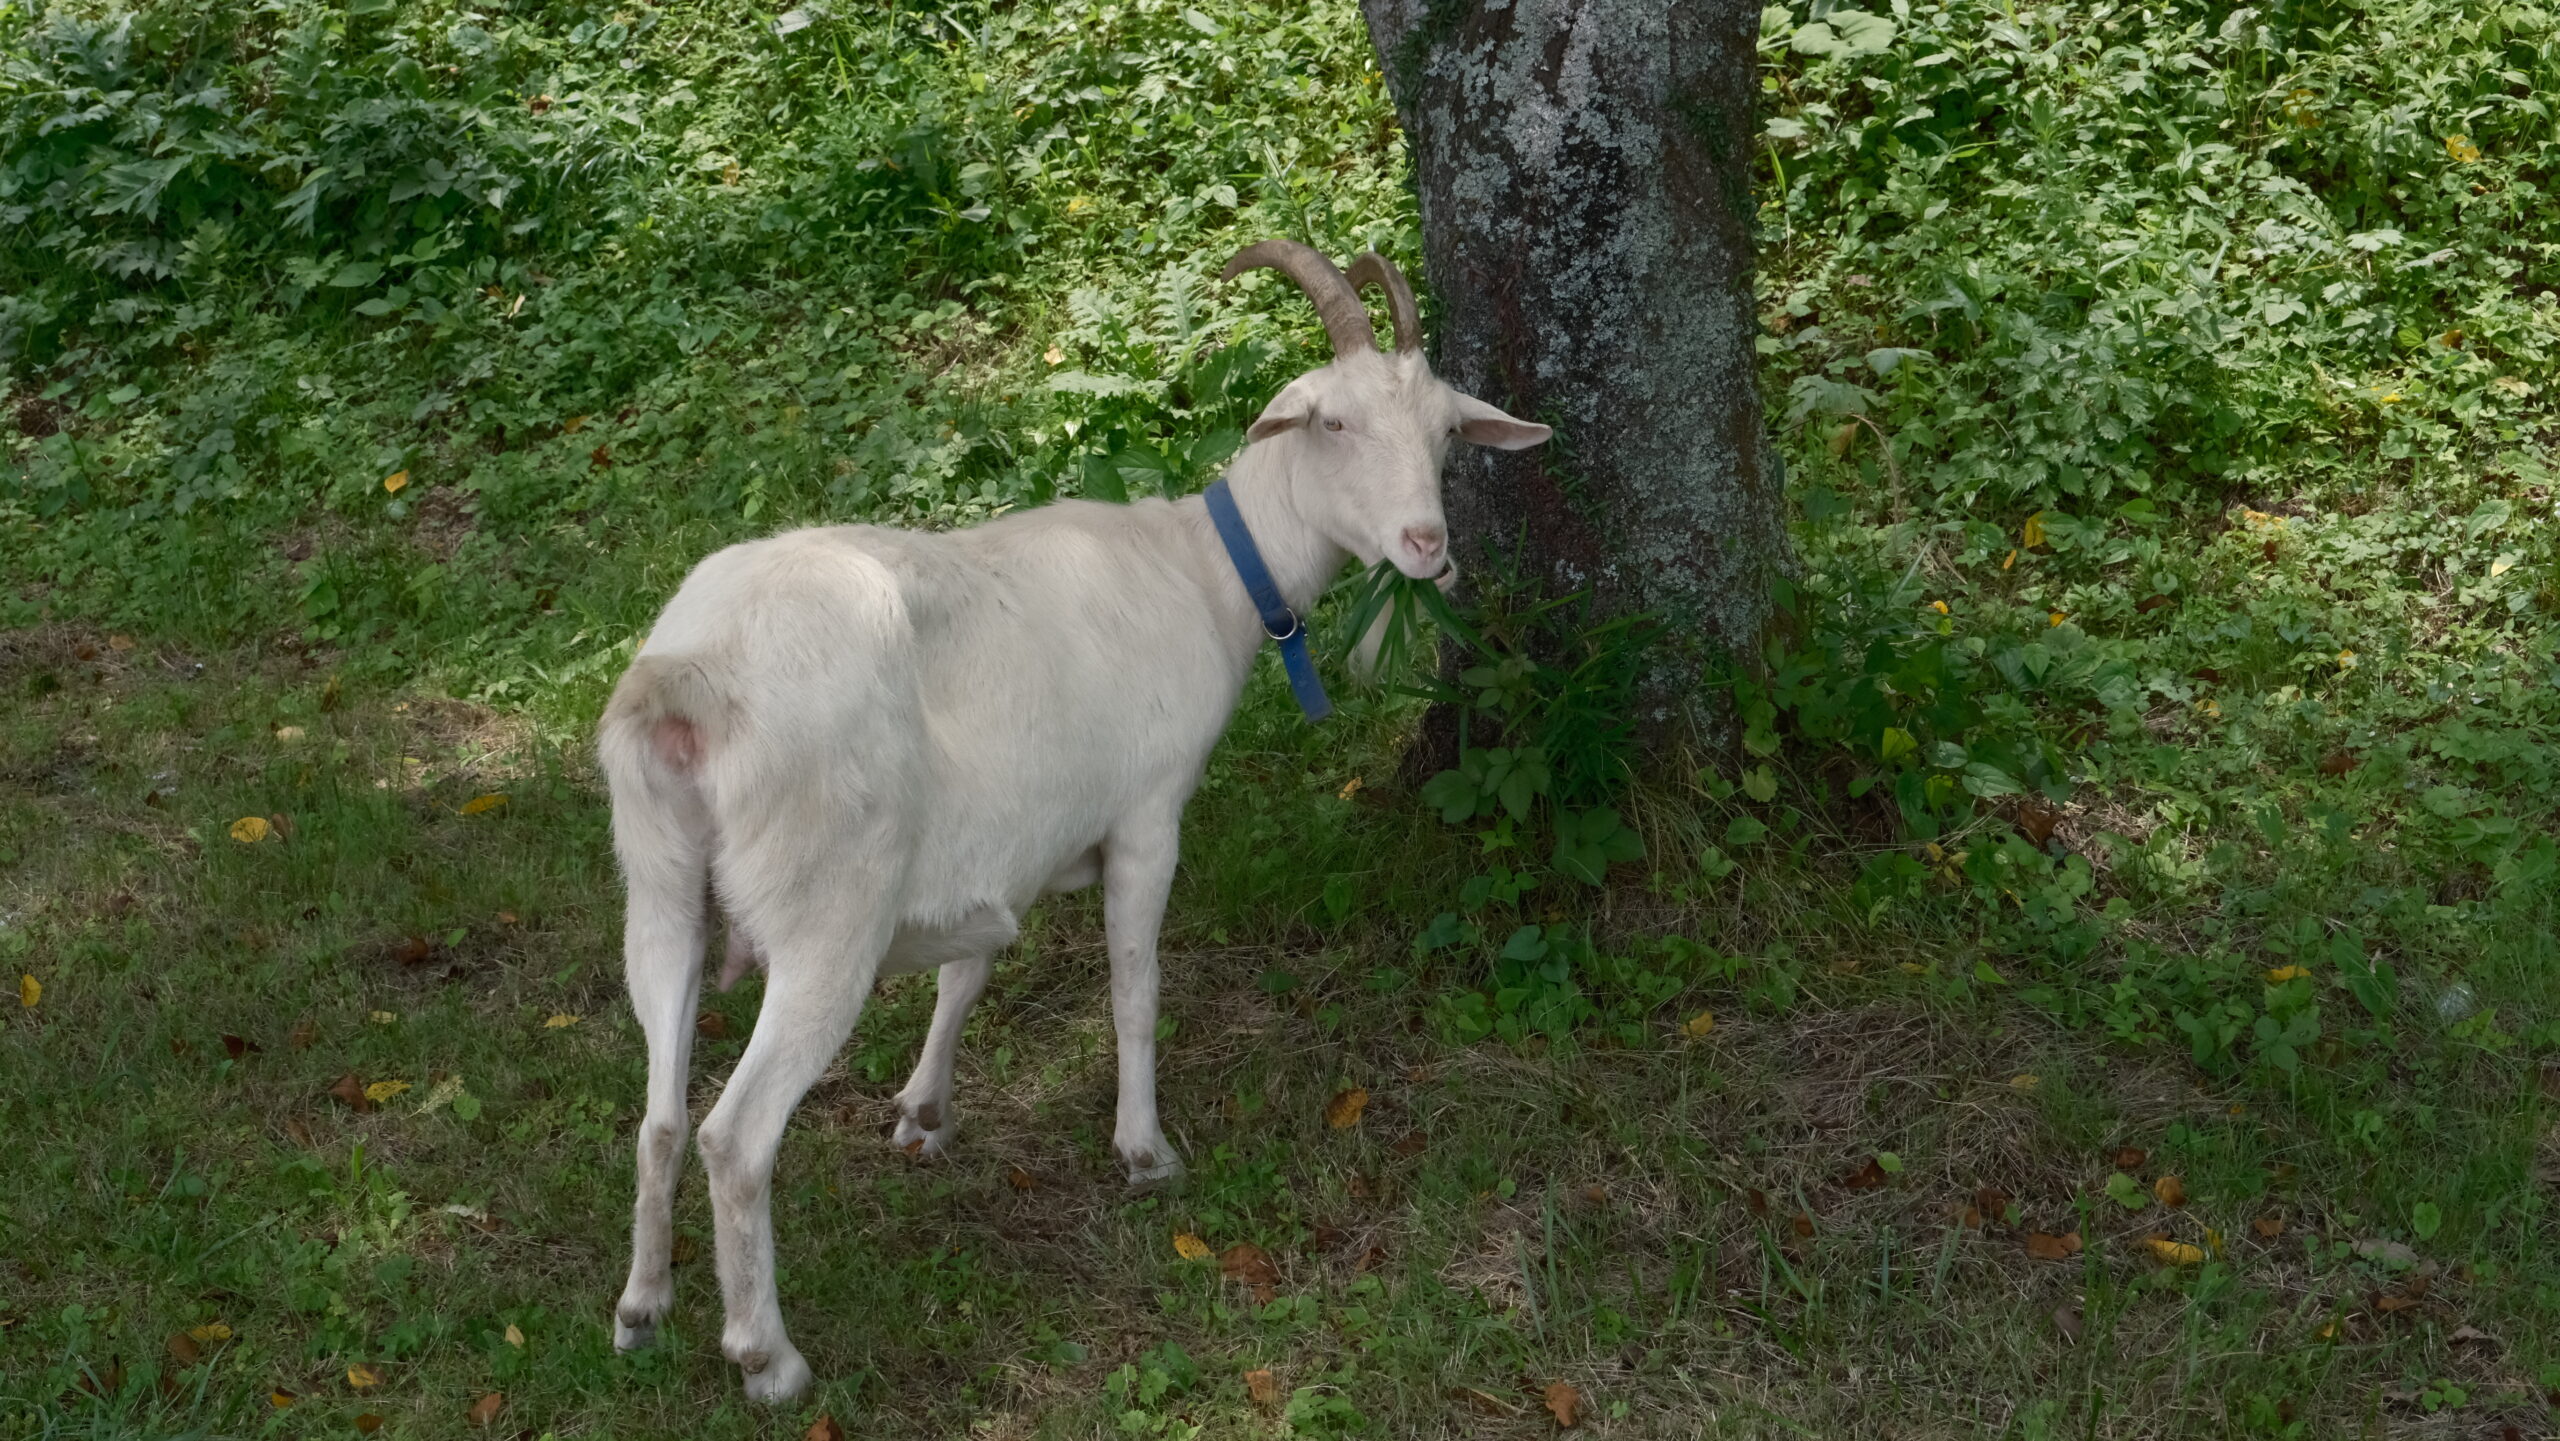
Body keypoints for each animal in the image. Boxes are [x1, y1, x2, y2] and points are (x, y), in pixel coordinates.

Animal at [599, 241, 1546, 1402]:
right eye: (1331, 420)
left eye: (1447, 432)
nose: (1427, 546)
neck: (1202, 570)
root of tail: (689, 680)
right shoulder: (1145, 815)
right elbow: (1134, 988)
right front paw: (1144, 1150)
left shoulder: (1013, 839)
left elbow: (969, 970)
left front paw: (923, 1110)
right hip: (827, 913)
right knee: (735, 1136)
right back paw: (766, 1355)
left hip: (658, 883)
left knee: (657, 1111)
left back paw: (642, 1307)